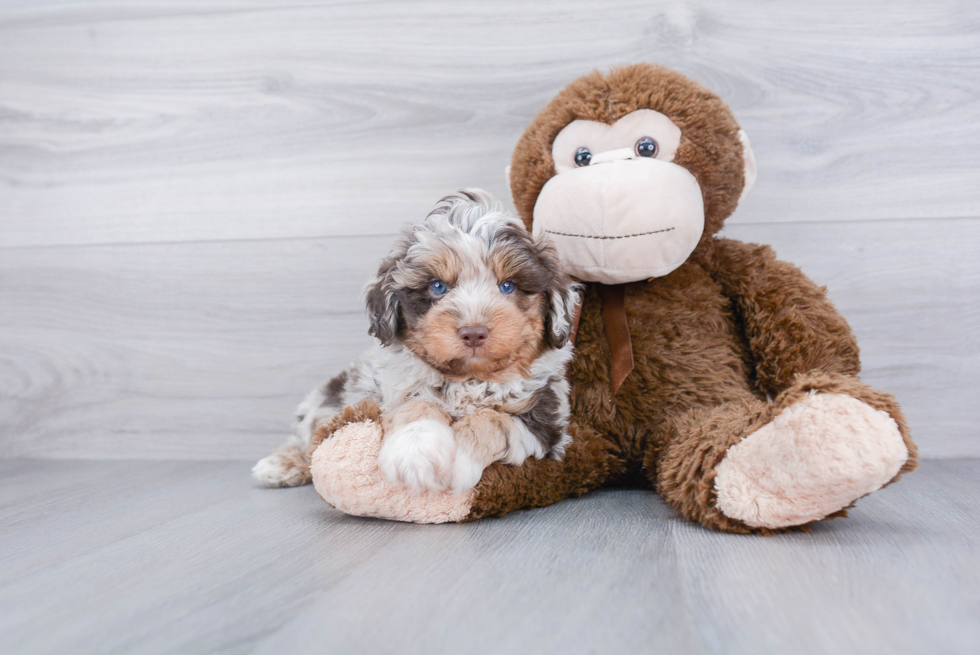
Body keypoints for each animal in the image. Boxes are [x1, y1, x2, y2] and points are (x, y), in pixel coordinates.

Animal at [253, 188, 580, 492]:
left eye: (508, 286)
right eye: (437, 287)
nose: (473, 332)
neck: (470, 379)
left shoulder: (547, 422)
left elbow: (491, 419)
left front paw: (458, 461)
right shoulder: (394, 392)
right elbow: (418, 405)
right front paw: (414, 453)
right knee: (309, 436)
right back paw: (280, 465)